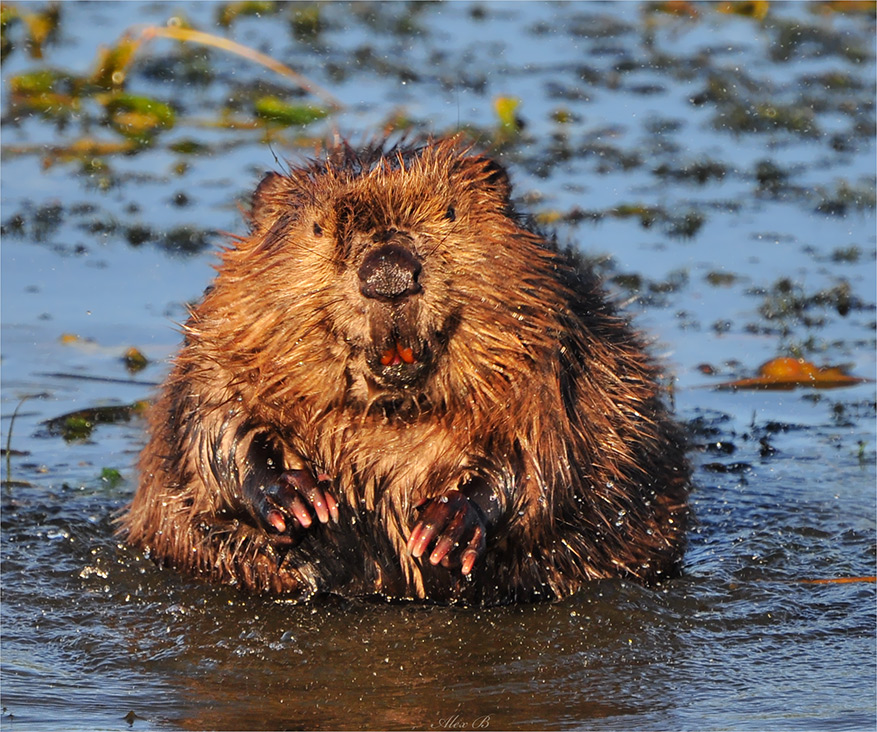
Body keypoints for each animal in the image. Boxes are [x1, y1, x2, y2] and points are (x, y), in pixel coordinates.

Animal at [120, 137, 688, 608]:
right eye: (317, 227)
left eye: (451, 212)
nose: (389, 272)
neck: (391, 414)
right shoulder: (225, 336)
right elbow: (213, 424)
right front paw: (299, 500)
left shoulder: (554, 355)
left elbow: (543, 454)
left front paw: (446, 526)